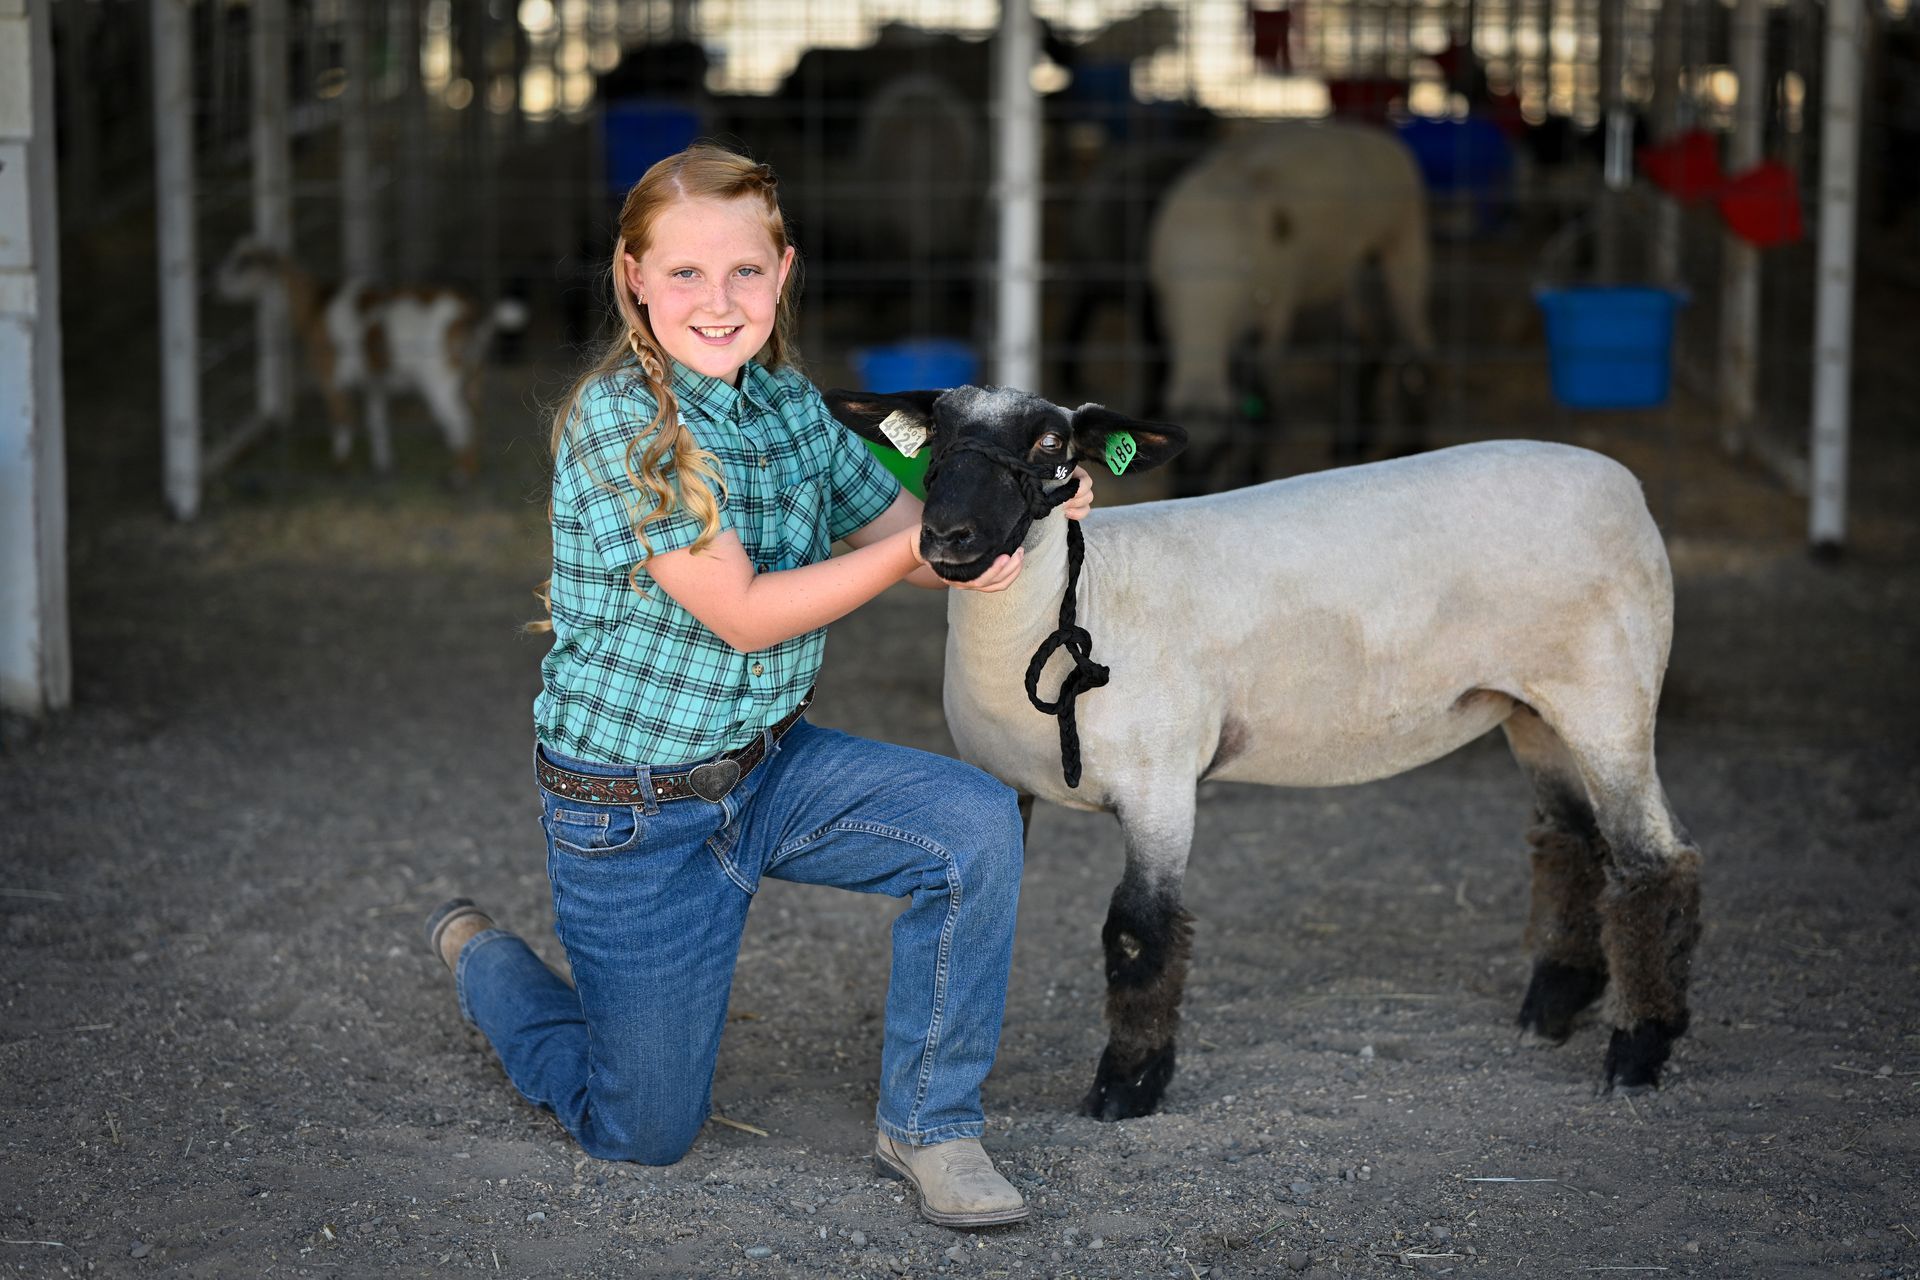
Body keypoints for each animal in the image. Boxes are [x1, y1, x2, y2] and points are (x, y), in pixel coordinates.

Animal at [215, 240, 528, 481]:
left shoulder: (329, 375)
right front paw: (383, 464)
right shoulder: (373, 382)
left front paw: (340, 467)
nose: (216, 280)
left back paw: (460, 476)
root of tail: (468, 316)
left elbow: (342, 419)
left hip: (440, 381)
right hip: (474, 374)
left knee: (461, 423)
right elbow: (376, 420)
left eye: (243, 262)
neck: (316, 304)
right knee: (476, 418)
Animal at [826, 384, 1704, 1121]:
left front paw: (1127, 1087)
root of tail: (1622, 483)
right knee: (1574, 842)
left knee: (1654, 861)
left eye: (1050, 446)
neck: (1078, 601)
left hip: (1610, 694)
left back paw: (1637, 1050)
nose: (948, 537)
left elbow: (1138, 932)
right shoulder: (997, 780)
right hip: (1533, 708)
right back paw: (1553, 1006)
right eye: (937, 436)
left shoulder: (1160, 784)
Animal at [1148, 122, 1436, 491]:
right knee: (1369, 347)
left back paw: (1411, 445)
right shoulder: (1166, 315)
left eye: (1221, 448)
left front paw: (1250, 475)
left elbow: (1263, 401)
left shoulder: (1273, 314)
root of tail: (1381, 136)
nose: (1189, 492)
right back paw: (1353, 443)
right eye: (1176, 460)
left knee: (1416, 346)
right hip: (1350, 274)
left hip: (1403, 245)